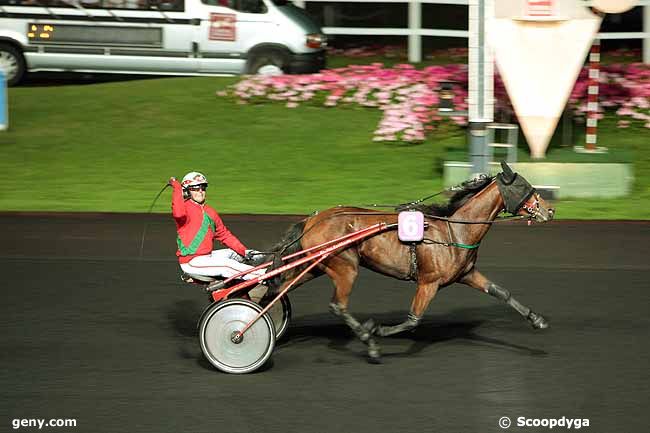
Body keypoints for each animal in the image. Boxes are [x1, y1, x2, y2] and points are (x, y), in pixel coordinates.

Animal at [264, 162, 552, 362]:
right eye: (524, 187)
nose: (549, 210)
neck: (454, 231)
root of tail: (312, 220)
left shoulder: (467, 274)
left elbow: (501, 292)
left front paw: (537, 319)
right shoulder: (429, 282)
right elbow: (414, 320)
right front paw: (376, 330)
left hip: (315, 266)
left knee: (278, 288)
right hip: (344, 266)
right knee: (337, 305)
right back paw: (369, 343)